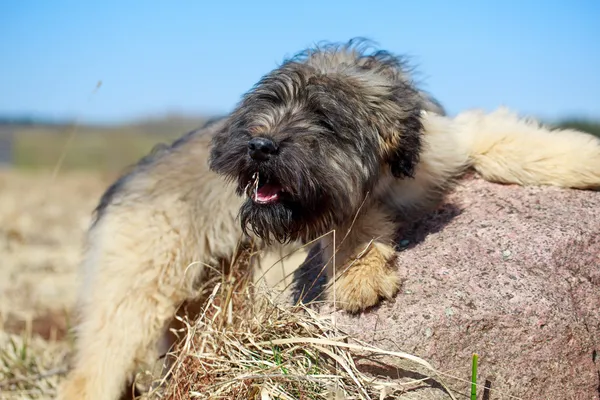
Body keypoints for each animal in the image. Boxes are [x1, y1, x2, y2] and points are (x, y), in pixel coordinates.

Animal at [57, 38, 600, 400]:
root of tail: (128, 180)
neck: (389, 175)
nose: (259, 146)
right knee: (94, 368)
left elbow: (516, 143)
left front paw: (584, 160)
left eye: (322, 117)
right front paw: (360, 276)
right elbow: (349, 222)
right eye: (269, 105)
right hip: (136, 289)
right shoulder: (324, 212)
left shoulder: (450, 141)